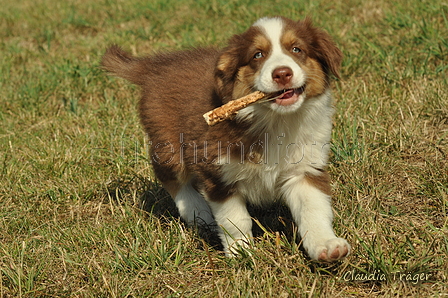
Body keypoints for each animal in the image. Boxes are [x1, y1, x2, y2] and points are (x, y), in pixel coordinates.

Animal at [103, 15, 352, 260]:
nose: (282, 74)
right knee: (172, 178)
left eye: (297, 49)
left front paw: (326, 246)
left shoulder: (305, 169)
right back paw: (199, 212)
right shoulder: (216, 172)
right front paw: (240, 251)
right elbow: (234, 219)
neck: (274, 120)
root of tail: (155, 66)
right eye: (257, 55)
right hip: (168, 142)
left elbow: (314, 210)